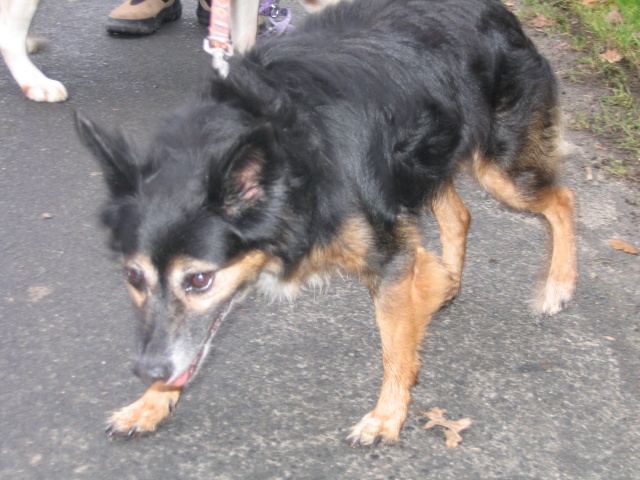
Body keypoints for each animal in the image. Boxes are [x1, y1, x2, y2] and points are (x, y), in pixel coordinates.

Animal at [75, 0, 576, 444]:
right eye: (132, 276)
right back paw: (450, 283)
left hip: (500, 171)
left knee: (561, 199)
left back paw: (559, 285)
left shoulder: (388, 255)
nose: (146, 370)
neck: (289, 163)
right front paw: (149, 404)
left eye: (198, 280)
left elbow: (394, 347)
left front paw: (387, 417)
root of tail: (498, 10)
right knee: (459, 214)